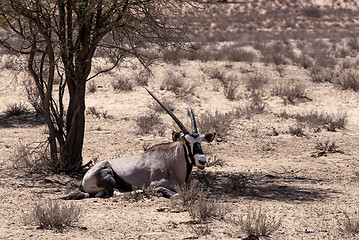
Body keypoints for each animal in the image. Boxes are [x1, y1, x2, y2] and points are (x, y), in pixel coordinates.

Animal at [65, 88, 215, 199]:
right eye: (187, 142)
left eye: (200, 141)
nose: (202, 160)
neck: (171, 160)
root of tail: (83, 180)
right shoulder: (155, 185)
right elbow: (176, 195)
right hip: (108, 173)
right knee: (115, 193)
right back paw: (140, 191)